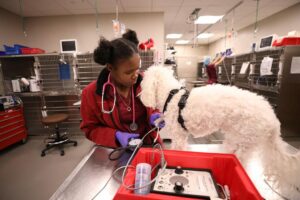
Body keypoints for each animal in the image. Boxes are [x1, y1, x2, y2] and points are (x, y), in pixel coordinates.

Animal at [139, 65, 300, 200]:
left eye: (143, 82)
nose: (139, 95)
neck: (171, 95)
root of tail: (272, 117)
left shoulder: (178, 136)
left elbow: (178, 150)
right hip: (234, 138)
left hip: (245, 141)